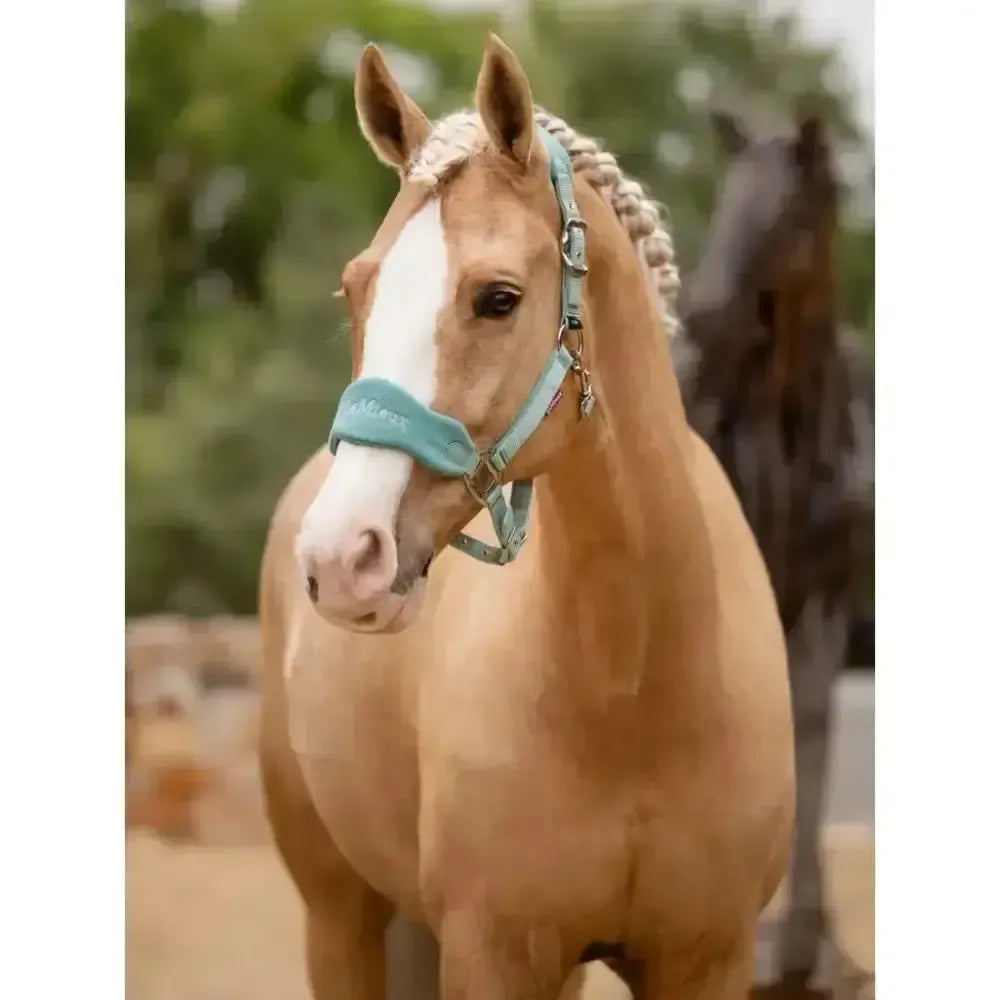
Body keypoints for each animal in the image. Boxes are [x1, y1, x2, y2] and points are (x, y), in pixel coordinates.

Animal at [258, 35, 794, 999]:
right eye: (356, 290)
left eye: (498, 297)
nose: (340, 559)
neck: (637, 690)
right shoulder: (492, 952)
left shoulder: (709, 957)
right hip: (339, 916)